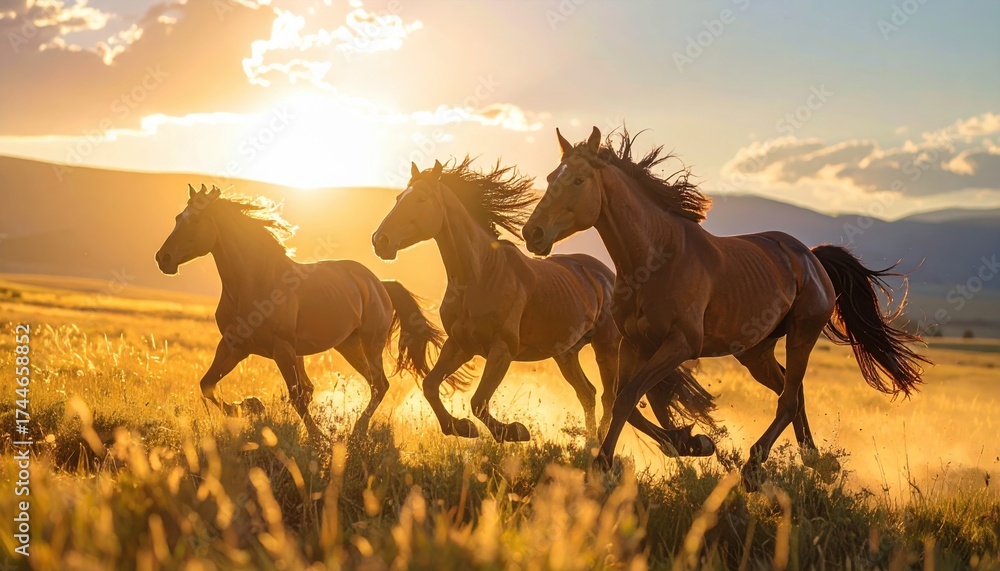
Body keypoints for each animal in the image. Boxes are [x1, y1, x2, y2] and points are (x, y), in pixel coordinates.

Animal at [155, 184, 455, 438]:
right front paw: (251, 406)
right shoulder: (233, 346)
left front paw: (317, 437)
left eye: (195, 221)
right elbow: (207, 385)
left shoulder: (283, 349)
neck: (254, 282)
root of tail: (379, 284)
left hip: (369, 344)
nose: (163, 258)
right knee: (371, 384)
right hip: (347, 345)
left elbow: (298, 396)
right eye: (177, 218)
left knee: (379, 385)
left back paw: (357, 433)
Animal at [371, 158, 716, 453]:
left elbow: (479, 401)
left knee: (609, 396)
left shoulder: (502, 350)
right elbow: (431, 385)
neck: (479, 274)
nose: (380, 241)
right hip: (566, 354)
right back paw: (600, 443)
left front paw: (514, 431)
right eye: (398, 197)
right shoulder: (460, 345)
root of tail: (605, 274)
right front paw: (460, 427)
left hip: (607, 348)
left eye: (420, 199)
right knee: (588, 393)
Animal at [523, 127, 930, 487]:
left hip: (802, 333)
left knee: (788, 399)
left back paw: (755, 466)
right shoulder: (633, 343)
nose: (533, 233)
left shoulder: (680, 345)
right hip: (755, 352)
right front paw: (690, 443)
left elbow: (626, 399)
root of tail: (811, 258)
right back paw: (817, 461)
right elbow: (627, 402)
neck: (656, 258)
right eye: (550, 177)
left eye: (578, 180)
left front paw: (604, 465)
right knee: (792, 392)